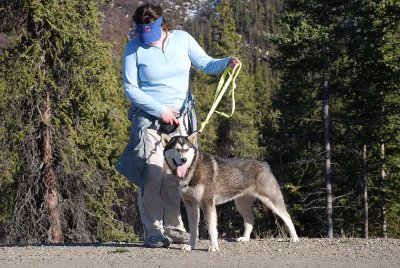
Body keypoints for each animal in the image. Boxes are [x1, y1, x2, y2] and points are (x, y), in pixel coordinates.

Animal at [162, 132, 296, 251]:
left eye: (186, 149)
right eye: (177, 149)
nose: (183, 160)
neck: (193, 169)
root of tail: (265, 163)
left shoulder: (207, 203)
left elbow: (211, 228)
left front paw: (213, 246)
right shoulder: (191, 205)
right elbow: (194, 229)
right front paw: (191, 246)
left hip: (272, 201)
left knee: (287, 216)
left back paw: (294, 238)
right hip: (241, 204)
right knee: (250, 220)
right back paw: (245, 238)